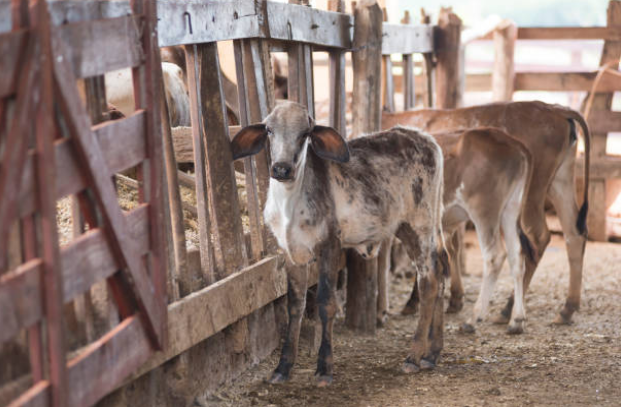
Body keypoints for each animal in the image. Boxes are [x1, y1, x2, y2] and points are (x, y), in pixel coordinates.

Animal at [231, 101, 446, 386]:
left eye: (306, 133)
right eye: (268, 129)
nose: (281, 169)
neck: (290, 203)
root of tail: (424, 138)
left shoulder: (330, 244)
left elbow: (326, 302)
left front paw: (324, 368)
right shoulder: (291, 251)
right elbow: (295, 305)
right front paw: (282, 368)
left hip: (420, 223)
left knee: (429, 280)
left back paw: (414, 356)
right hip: (415, 227)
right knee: (441, 273)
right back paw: (432, 354)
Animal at [382, 103, 592, 328]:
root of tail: (557, 109)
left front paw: (414, 302)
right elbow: (450, 250)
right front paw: (454, 299)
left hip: (527, 197)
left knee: (534, 241)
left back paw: (505, 310)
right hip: (559, 182)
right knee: (573, 234)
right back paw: (565, 309)